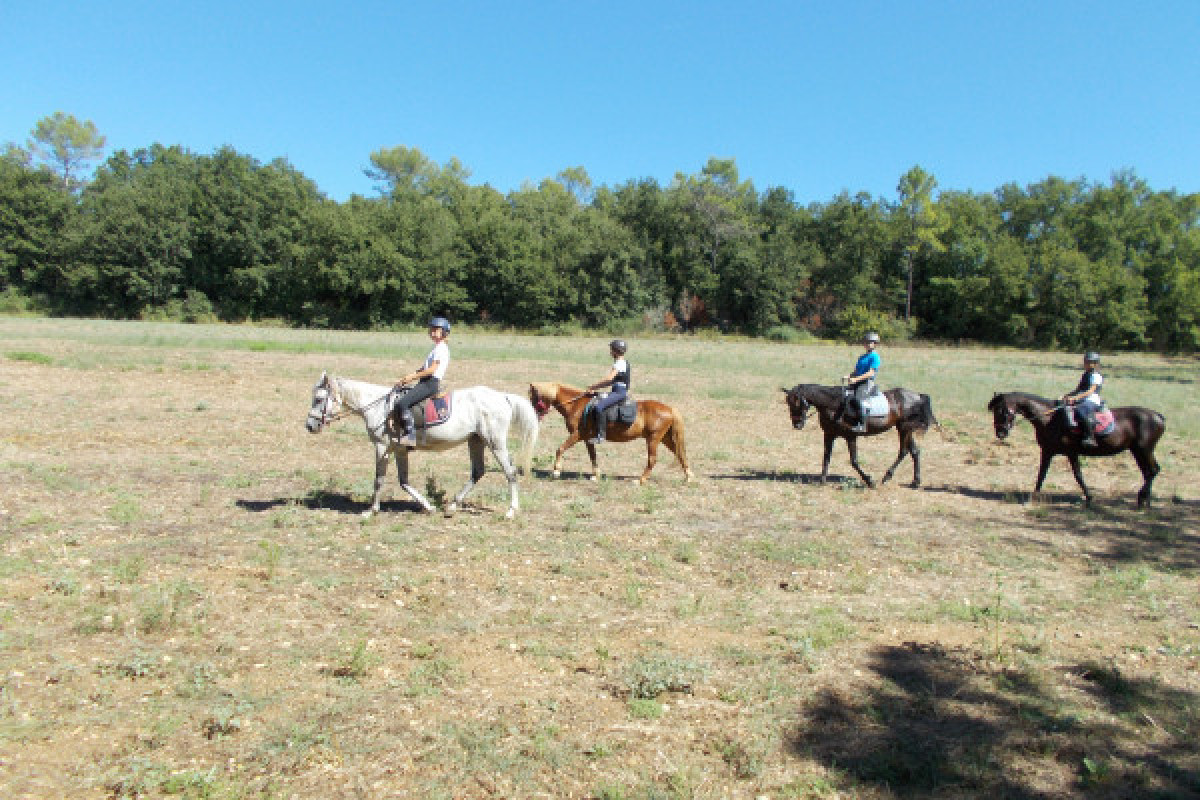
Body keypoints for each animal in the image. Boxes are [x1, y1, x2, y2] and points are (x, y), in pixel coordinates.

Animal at [306, 372, 539, 518]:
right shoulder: (399, 450)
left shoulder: (382, 448)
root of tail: (503, 397)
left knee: (510, 472)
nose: (309, 426)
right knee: (478, 471)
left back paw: (511, 511)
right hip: (476, 440)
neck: (379, 408)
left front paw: (371, 511)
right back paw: (451, 507)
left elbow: (379, 480)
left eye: (318, 399)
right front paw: (428, 507)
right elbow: (404, 482)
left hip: (495, 441)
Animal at [528, 382, 694, 483]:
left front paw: (556, 471)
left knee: (652, 459)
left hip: (653, 439)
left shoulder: (577, 435)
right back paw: (689, 477)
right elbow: (593, 456)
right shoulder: (588, 438)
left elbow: (560, 449)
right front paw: (596, 475)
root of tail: (670, 408)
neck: (576, 405)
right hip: (665, 439)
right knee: (680, 454)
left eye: (533, 398)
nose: (533, 416)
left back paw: (640, 480)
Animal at [782, 384, 939, 488]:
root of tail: (918, 396)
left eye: (798, 403)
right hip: (905, 429)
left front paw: (869, 481)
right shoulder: (829, 435)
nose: (797, 425)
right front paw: (822, 481)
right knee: (914, 452)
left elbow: (854, 461)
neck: (834, 406)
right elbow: (826, 457)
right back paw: (915, 482)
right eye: (788, 403)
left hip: (904, 428)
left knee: (904, 451)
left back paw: (887, 476)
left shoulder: (851, 437)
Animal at [987, 391, 1165, 508]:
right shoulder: (1047, 451)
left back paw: (1143, 499)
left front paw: (1089, 497)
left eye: (1002, 411)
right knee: (1149, 472)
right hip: (1138, 451)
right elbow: (1041, 474)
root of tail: (1157, 415)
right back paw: (1144, 500)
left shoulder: (1071, 452)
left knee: (1152, 471)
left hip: (1144, 449)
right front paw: (1033, 497)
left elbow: (1078, 475)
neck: (1051, 419)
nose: (1000, 433)